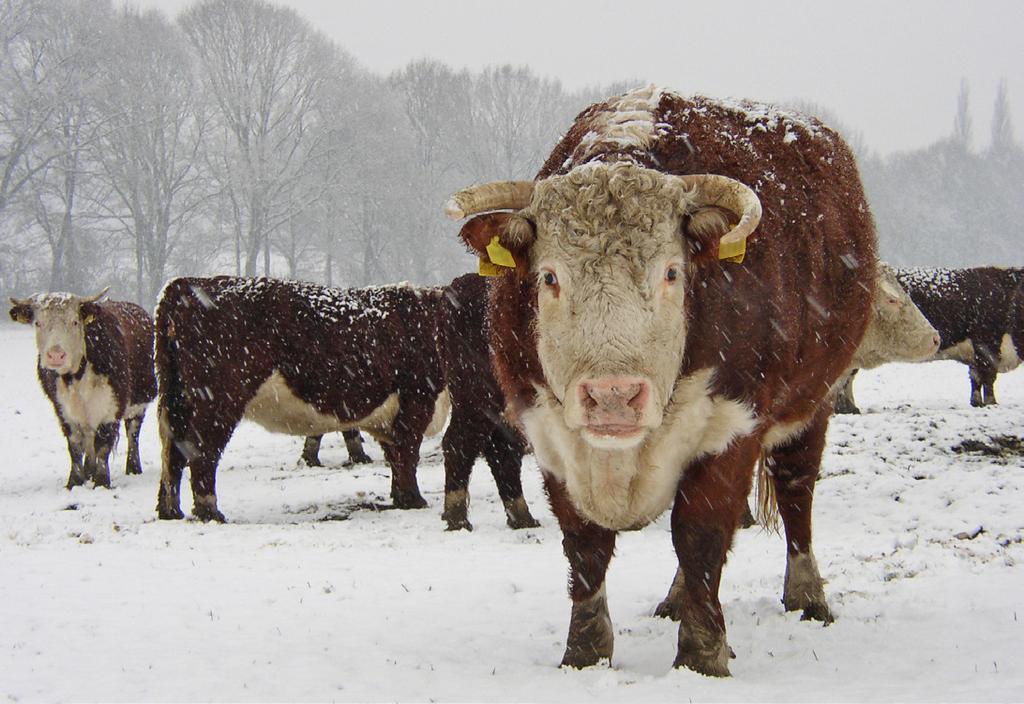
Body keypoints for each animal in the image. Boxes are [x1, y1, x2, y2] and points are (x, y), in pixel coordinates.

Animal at [8, 288, 155, 487]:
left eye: (74, 321)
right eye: (38, 323)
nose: (56, 355)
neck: (76, 376)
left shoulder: (111, 406)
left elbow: (103, 445)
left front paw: (101, 481)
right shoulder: (63, 409)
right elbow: (75, 446)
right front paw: (76, 481)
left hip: (140, 402)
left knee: (132, 432)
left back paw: (133, 468)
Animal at [154, 274, 448, 521]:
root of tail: (186, 282)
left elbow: (395, 455)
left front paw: (400, 497)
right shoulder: (417, 399)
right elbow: (407, 452)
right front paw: (413, 500)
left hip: (177, 401)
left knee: (174, 454)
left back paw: (171, 512)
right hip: (217, 402)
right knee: (202, 452)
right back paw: (211, 513)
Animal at [444, 88, 876, 675]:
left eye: (672, 272)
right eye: (550, 277)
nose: (613, 396)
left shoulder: (731, 424)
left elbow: (701, 535)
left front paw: (703, 654)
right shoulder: (549, 434)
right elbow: (584, 545)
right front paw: (585, 651)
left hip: (815, 401)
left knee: (795, 490)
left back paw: (807, 596)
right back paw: (676, 599)